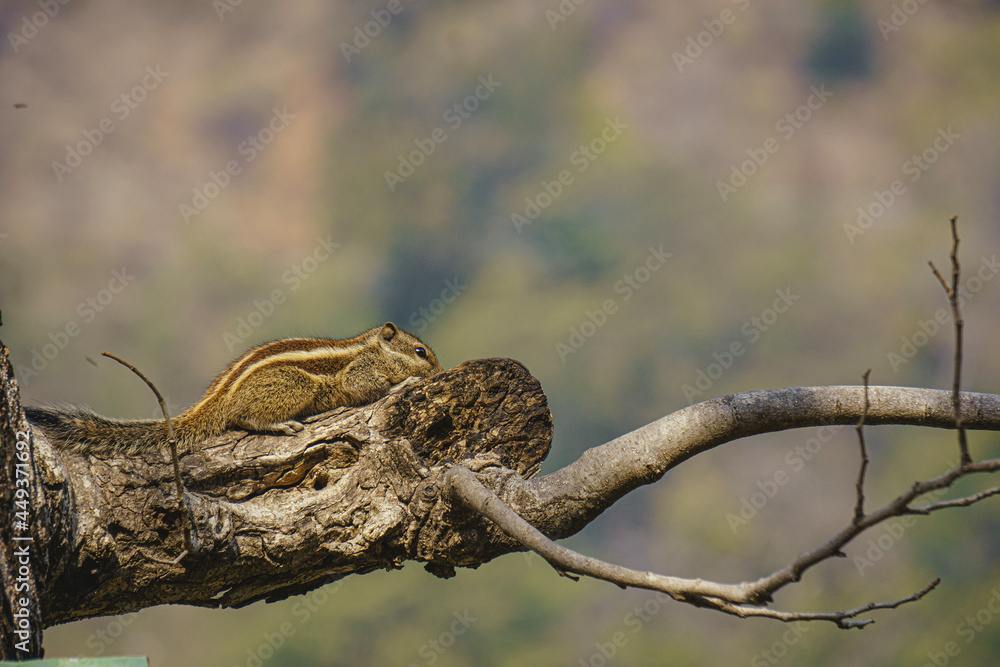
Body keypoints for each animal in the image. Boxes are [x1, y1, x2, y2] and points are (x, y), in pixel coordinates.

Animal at [26, 322, 442, 455]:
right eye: (421, 352)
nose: (440, 369)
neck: (372, 348)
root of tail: (215, 400)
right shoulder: (359, 373)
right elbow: (365, 387)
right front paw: (409, 380)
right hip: (295, 385)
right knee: (243, 418)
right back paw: (280, 424)